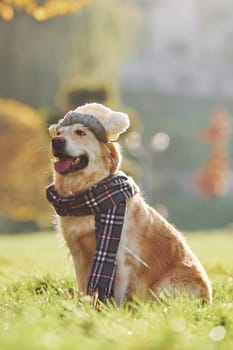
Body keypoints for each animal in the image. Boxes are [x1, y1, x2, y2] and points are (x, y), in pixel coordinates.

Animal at [46, 102, 212, 304]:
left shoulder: (121, 255)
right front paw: (83, 308)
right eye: (58, 133)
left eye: (80, 132)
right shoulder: (79, 254)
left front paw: (110, 309)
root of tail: (209, 299)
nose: (56, 141)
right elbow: (83, 290)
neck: (87, 193)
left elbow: (116, 291)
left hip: (164, 285)